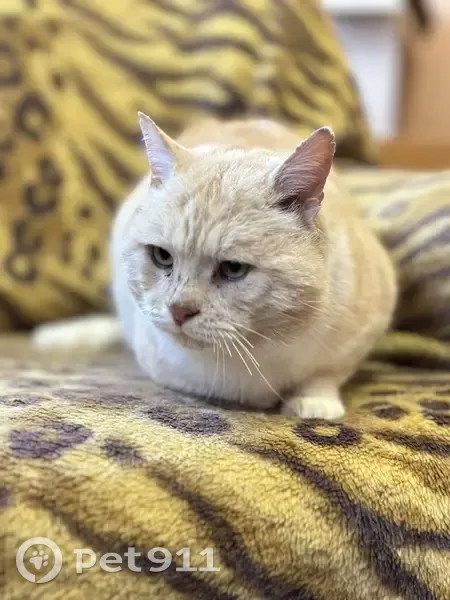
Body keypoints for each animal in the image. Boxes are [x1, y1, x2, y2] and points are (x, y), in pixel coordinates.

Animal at [33, 114, 397, 419]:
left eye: (233, 268)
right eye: (162, 256)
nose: (179, 311)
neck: (258, 348)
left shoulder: (362, 330)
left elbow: (324, 375)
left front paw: (313, 403)